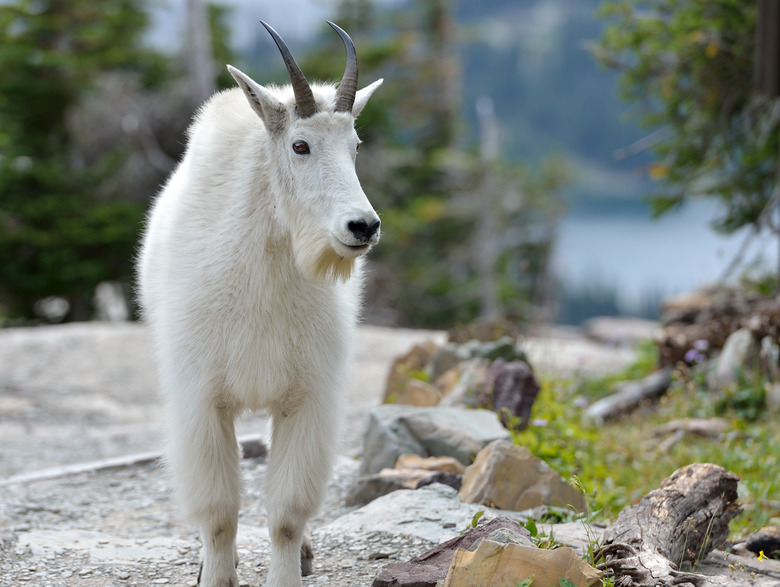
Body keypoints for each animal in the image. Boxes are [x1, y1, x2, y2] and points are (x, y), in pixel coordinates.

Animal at [139, 19, 386, 587]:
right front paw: (216, 575)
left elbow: (287, 514)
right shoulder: (202, 399)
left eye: (355, 145)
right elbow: (219, 513)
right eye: (300, 145)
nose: (363, 226)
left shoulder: (306, 398)